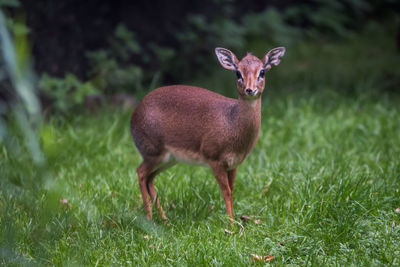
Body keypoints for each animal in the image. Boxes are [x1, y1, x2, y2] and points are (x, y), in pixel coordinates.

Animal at [130, 46, 284, 222]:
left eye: (262, 72)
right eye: (237, 73)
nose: (250, 89)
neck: (232, 125)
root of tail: (133, 115)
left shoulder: (234, 163)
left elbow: (232, 190)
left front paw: (234, 220)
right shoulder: (214, 158)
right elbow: (226, 191)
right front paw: (231, 223)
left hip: (169, 158)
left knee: (149, 178)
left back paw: (164, 219)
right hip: (152, 150)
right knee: (141, 172)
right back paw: (149, 217)